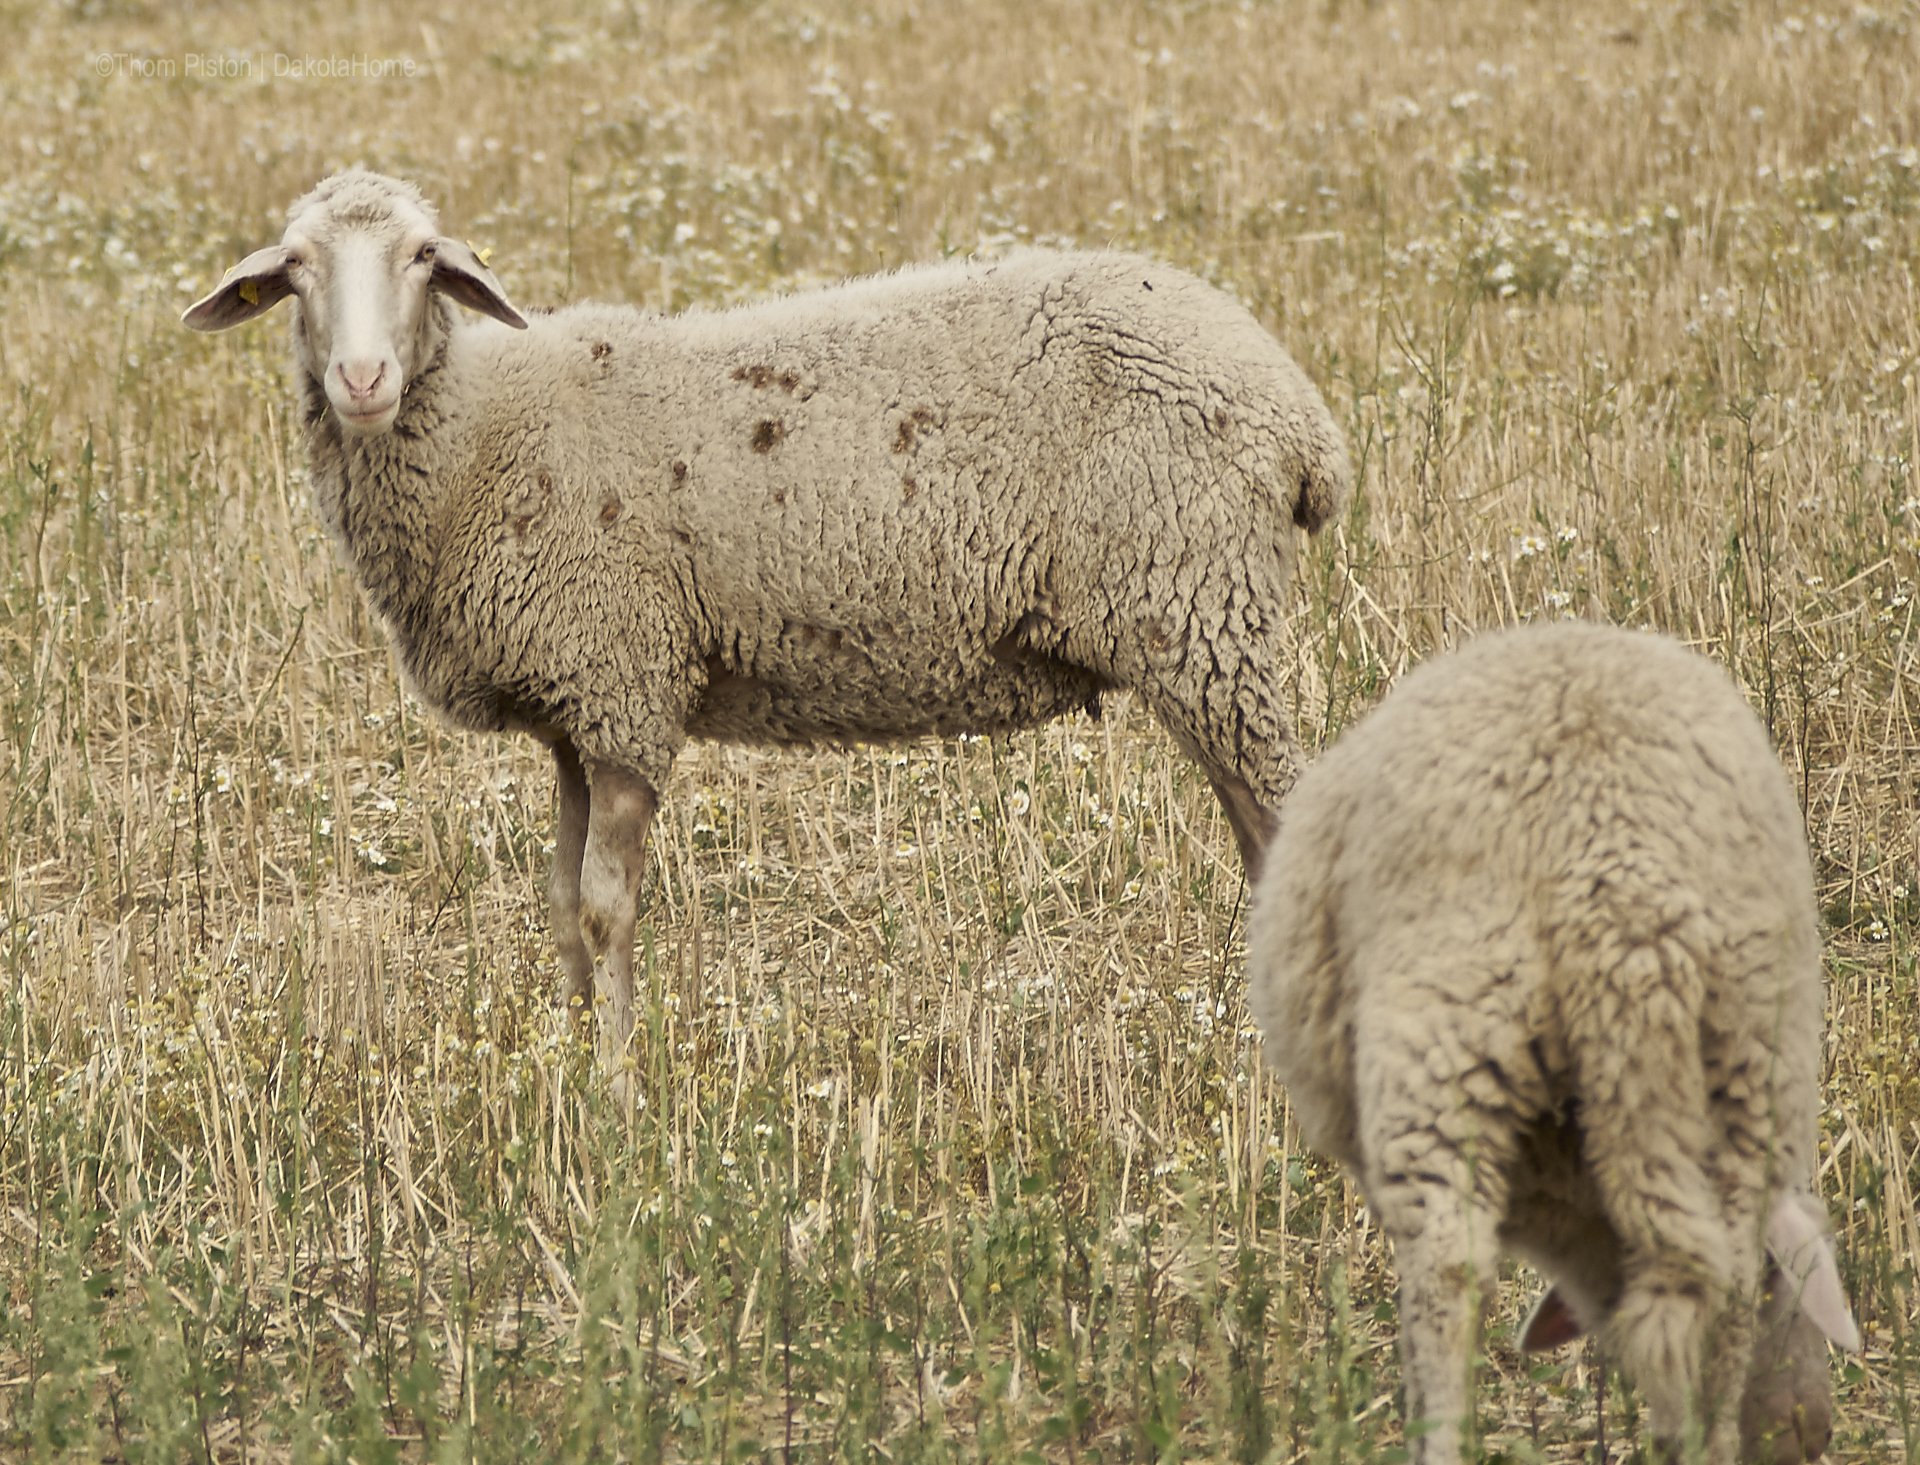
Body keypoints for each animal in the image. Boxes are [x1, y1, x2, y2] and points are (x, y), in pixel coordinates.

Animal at [183, 168, 1351, 1067]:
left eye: (425, 257)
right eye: (294, 268)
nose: (362, 377)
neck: (484, 433)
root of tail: (1298, 413)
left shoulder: (626, 685)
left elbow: (605, 907)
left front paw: (618, 1090)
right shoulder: (574, 704)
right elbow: (560, 911)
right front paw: (564, 1074)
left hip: (1198, 611)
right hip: (1199, 629)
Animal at [1244, 622, 1858, 1465]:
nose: (1806, 1431)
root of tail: (1624, 900)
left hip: (1445, 1036)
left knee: (1448, 1273)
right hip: (1749, 1055)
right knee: (1722, 1282)